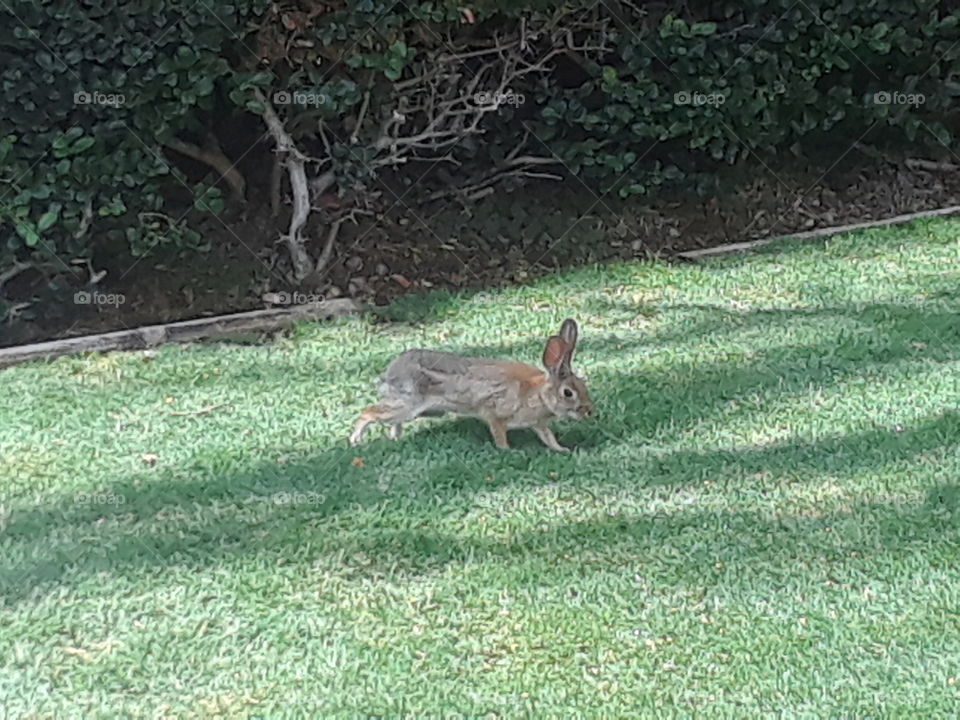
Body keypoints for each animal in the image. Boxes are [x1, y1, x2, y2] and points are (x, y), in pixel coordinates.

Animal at [349, 319, 593, 451]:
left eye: (582, 385)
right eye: (568, 393)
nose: (589, 411)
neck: (539, 394)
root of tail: (390, 373)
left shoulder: (539, 424)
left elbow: (548, 438)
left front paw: (563, 449)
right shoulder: (495, 414)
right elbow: (499, 434)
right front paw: (507, 450)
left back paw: (395, 438)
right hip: (407, 405)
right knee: (368, 412)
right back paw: (355, 440)